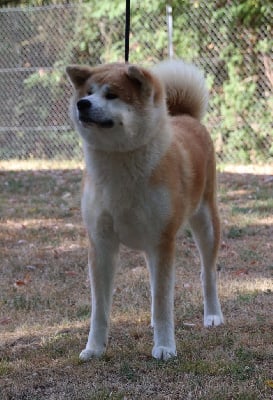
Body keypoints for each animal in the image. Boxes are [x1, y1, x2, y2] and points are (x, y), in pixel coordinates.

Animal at [66, 59, 223, 362]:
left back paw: (213, 315)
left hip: (205, 223)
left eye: (112, 95)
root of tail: (184, 116)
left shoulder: (163, 241)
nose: (82, 104)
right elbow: (99, 310)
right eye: (88, 92)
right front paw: (95, 348)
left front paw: (164, 346)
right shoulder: (101, 243)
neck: (119, 162)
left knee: (207, 274)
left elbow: (163, 303)